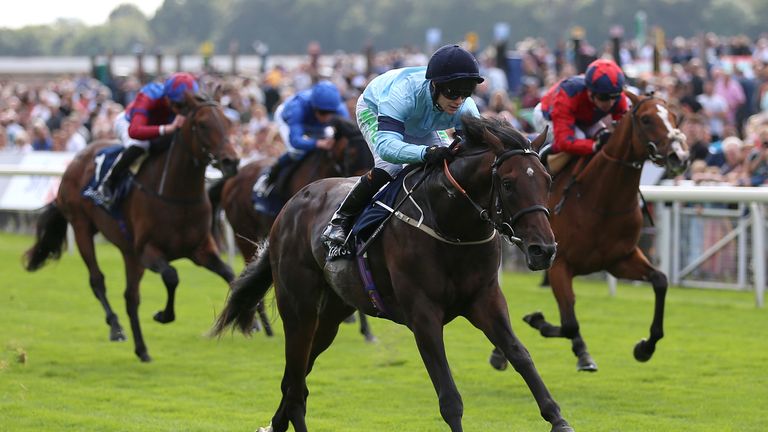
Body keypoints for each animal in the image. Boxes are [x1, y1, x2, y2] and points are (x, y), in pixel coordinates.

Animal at [24, 93, 240, 362]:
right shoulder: (148, 251)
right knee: (98, 280)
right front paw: (163, 315)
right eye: (202, 124)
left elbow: (229, 273)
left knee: (130, 297)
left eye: (228, 122)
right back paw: (116, 328)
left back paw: (142, 349)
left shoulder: (200, 249)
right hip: (82, 227)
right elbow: (172, 276)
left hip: (128, 252)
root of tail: (77, 159)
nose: (231, 161)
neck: (176, 195)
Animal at [208, 115, 376, 340]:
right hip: (244, 233)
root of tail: (232, 178)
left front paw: (365, 329)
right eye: (351, 152)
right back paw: (266, 328)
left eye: (369, 150)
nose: (364, 180)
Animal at [492, 91, 688, 372]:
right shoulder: (559, 263)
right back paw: (499, 353)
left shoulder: (620, 259)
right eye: (647, 119)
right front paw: (540, 322)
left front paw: (645, 347)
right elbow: (569, 323)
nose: (679, 156)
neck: (601, 201)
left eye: (673, 116)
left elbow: (660, 280)